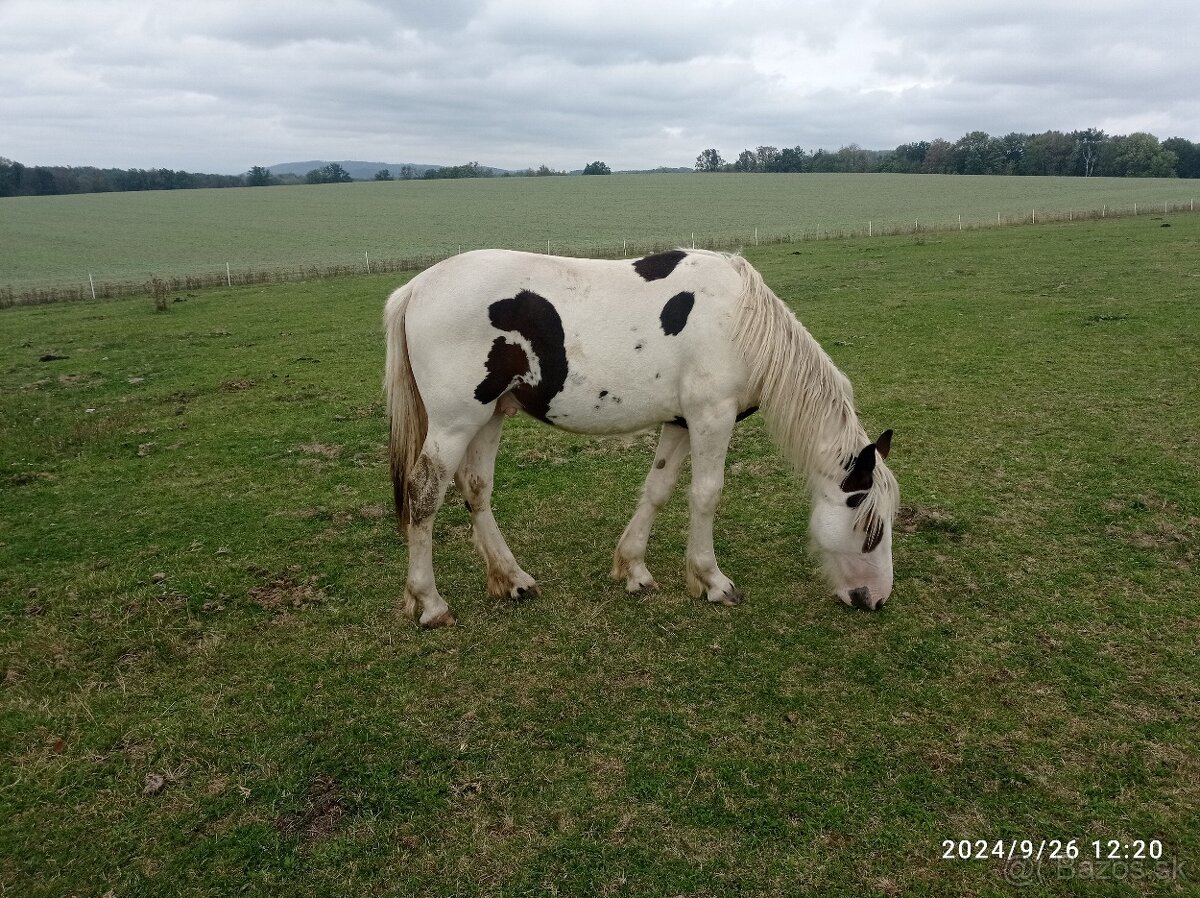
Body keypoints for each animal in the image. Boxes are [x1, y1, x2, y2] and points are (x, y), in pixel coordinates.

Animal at [384, 246, 902, 624]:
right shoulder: (712, 417)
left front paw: (634, 569)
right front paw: (712, 581)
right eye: (872, 529)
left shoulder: (680, 422)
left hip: (489, 416)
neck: (739, 321)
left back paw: (511, 579)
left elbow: (658, 489)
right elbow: (706, 495)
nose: (876, 599)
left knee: (476, 490)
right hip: (454, 424)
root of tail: (416, 287)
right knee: (424, 496)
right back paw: (429, 603)